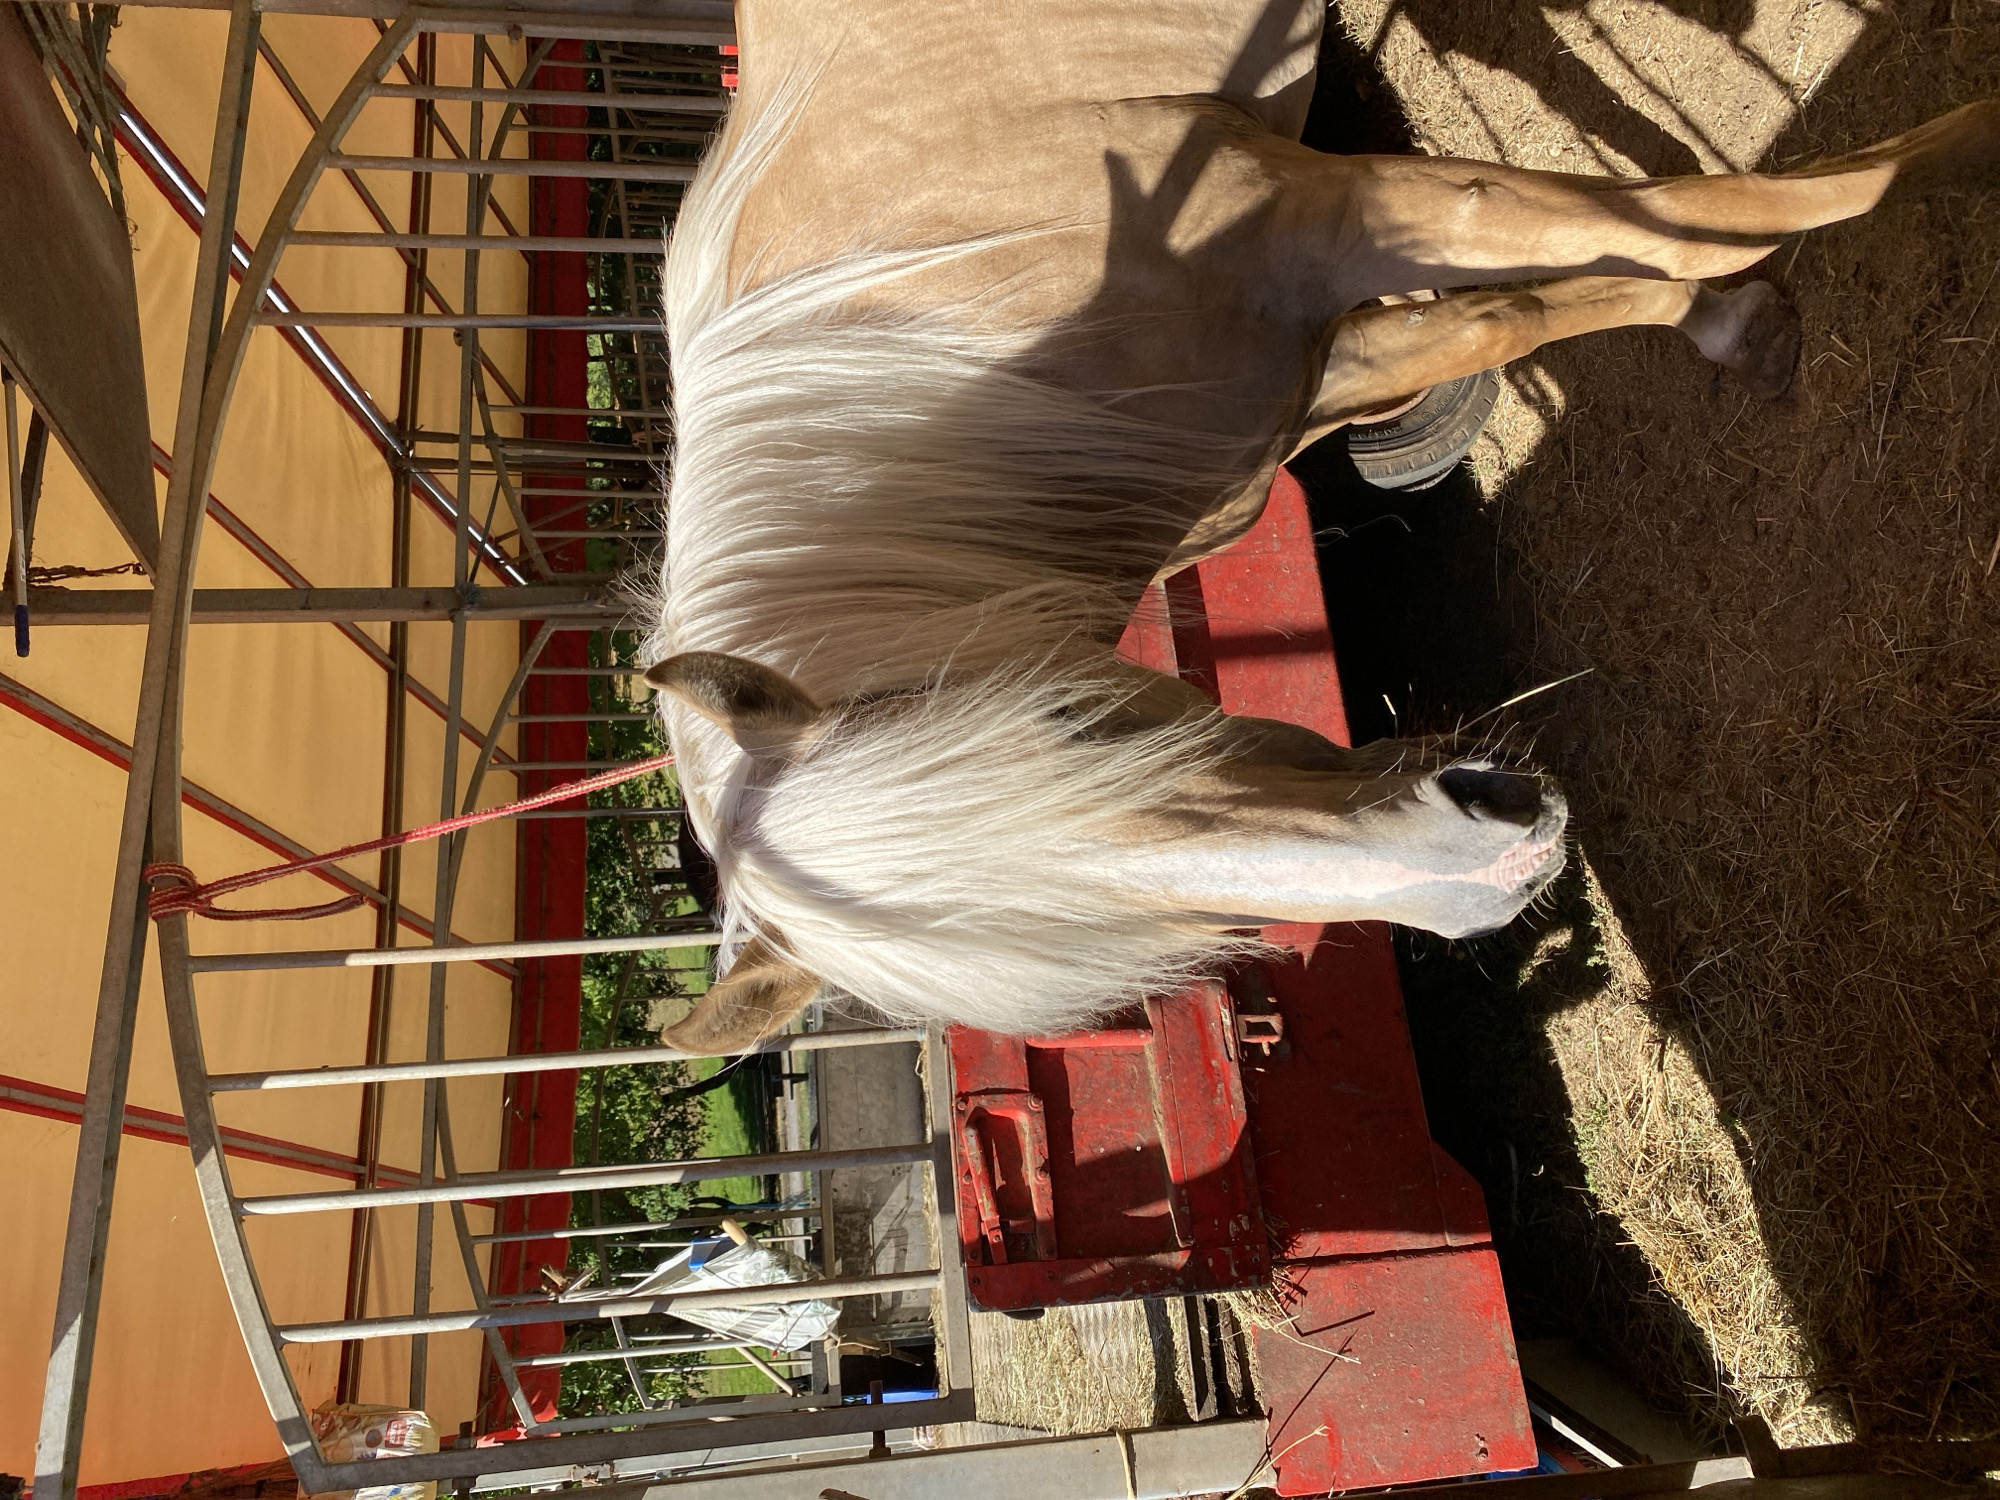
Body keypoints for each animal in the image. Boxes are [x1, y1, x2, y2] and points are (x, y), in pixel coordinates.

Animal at [642, 0, 1998, 1051]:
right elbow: (1551, 298)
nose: (1490, 870)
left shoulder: (1345, 207)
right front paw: (1724, 319)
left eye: (1072, 718)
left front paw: (1953, 152)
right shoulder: (1319, 362)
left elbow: (1712, 211)